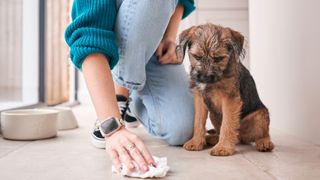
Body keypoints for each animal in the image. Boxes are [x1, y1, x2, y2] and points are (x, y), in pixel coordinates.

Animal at [176, 23, 274, 156]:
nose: (205, 77)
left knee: (261, 133)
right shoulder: (200, 98)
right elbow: (198, 121)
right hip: (214, 115)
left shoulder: (230, 99)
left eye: (218, 58)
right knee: (231, 136)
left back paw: (265, 143)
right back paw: (211, 138)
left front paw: (223, 148)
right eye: (197, 56)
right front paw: (196, 142)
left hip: (260, 115)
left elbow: (227, 125)